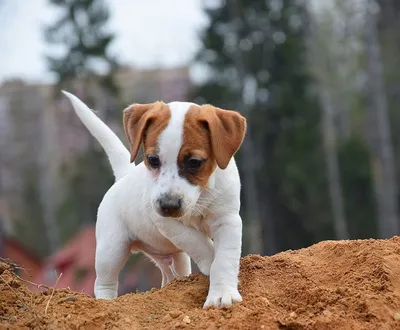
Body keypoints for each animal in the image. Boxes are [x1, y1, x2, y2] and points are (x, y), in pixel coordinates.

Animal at [61, 91, 247, 308]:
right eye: (153, 160)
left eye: (194, 162)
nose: (168, 205)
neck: (201, 196)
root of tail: (123, 177)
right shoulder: (166, 221)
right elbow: (195, 240)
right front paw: (210, 261)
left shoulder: (227, 220)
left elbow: (225, 258)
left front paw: (222, 294)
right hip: (111, 250)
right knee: (104, 282)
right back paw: (106, 303)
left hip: (173, 256)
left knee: (170, 274)